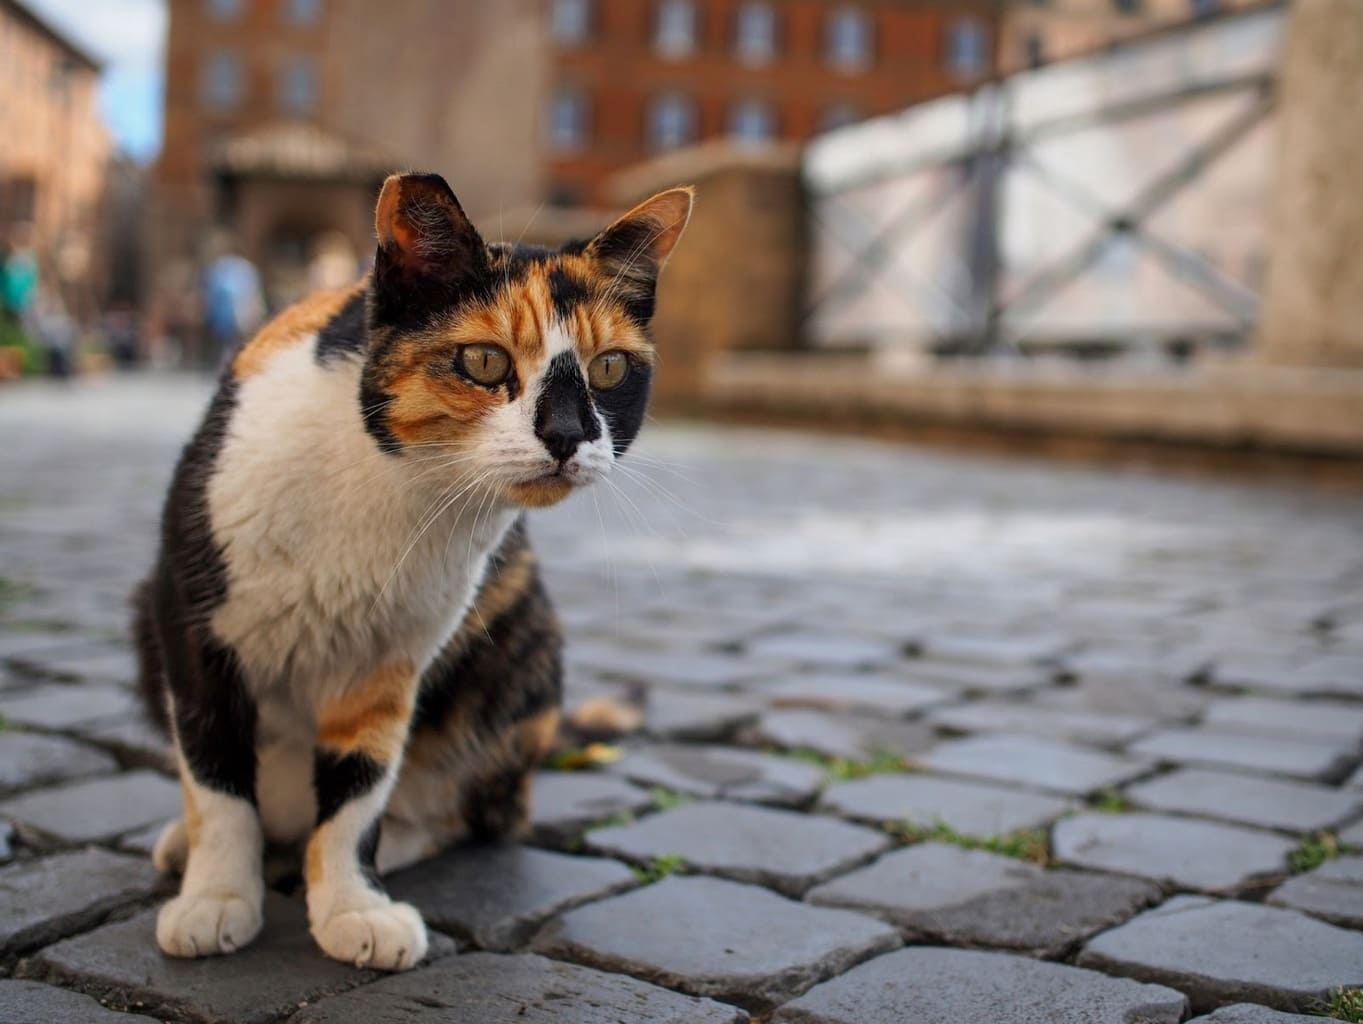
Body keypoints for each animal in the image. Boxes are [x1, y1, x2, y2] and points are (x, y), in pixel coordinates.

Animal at [131, 174, 692, 970]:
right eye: (483, 362)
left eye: (608, 368)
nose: (566, 435)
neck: (397, 488)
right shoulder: (191, 622)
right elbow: (214, 777)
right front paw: (215, 898)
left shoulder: (389, 657)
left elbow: (359, 787)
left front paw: (350, 904)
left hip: (519, 651)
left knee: (486, 814)